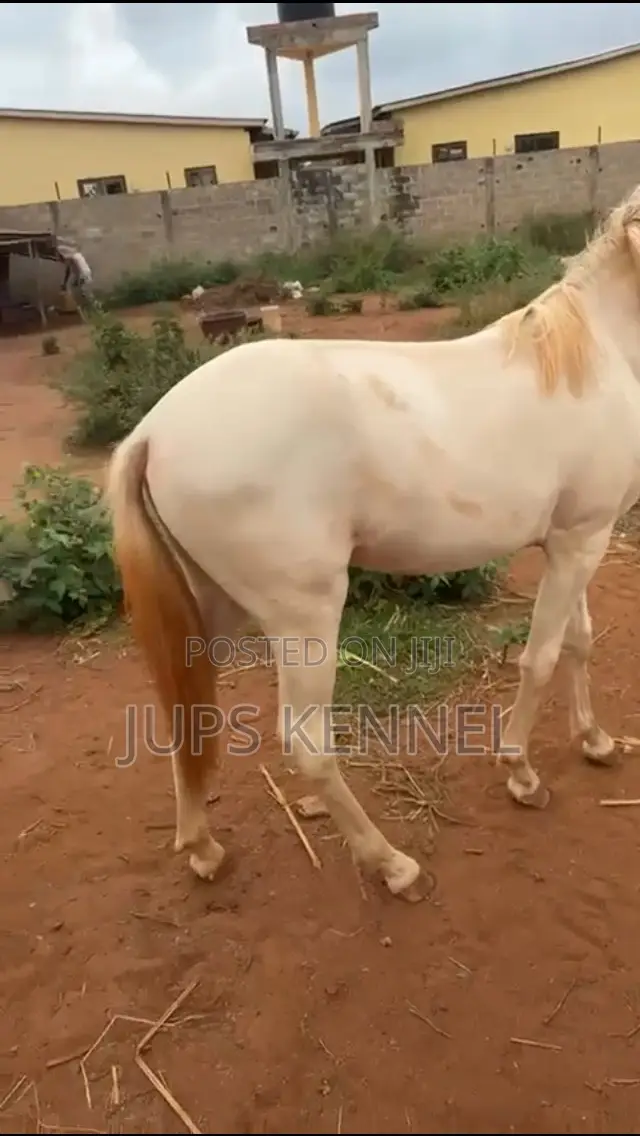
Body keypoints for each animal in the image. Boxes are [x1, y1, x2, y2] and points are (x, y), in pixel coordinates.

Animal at [107, 184, 640, 901]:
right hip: (305, 616)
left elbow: (579, 642)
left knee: (187, 711)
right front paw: (521, 772)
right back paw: (391, 863)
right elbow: (542, 657)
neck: (597, 355)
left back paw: (202, 849)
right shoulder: (581, 541)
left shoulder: (576, 539)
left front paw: (595, 741)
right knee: (308, 744)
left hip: (214, 606)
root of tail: (154, 431)